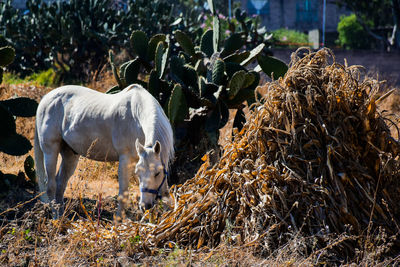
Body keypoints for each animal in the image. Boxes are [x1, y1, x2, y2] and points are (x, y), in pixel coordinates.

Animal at [35, 85, 175, 217]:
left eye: (157, 173)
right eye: (137, 173)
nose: (145, 206)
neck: (136, 118)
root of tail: (45, 99)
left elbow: (165, 193)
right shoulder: (125, 160)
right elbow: (123, 194)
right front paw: (118, 221)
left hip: (70, 155)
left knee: (60, 184)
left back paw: (62, 217)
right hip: (50, 151)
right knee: (51, 186)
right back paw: (56, 218)